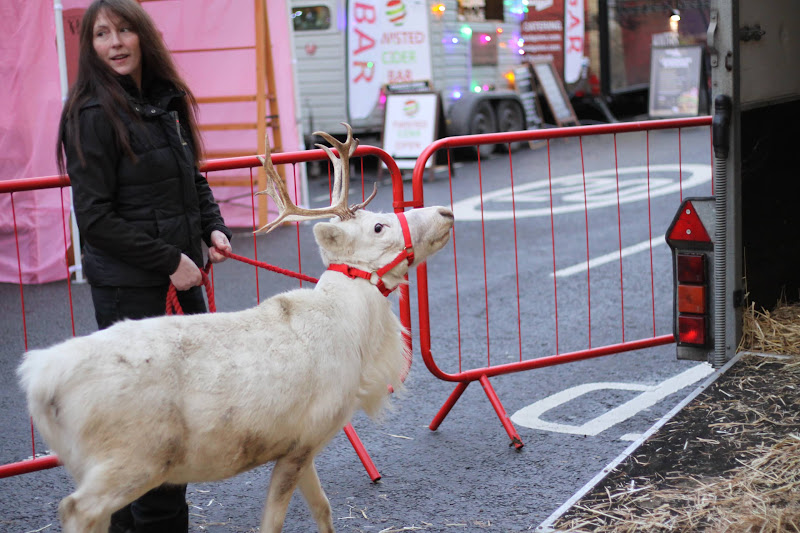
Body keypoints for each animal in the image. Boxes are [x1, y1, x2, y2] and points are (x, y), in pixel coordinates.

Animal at [17, 123, 454, 533]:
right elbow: (273, 522)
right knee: (75, 508)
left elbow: (323, 508)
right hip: (133, 457)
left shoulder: (299, 444)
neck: (353, 333)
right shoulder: (304, 437)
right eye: (379, 227)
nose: (446, 213)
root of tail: (39, 380)